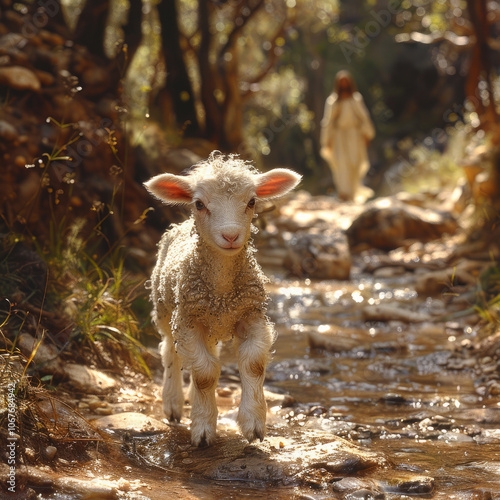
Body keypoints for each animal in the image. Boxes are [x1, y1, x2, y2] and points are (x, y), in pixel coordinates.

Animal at [145, 151, 300, 446]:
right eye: (199, 204)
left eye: (252, 201)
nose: (230, 235)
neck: (222, 291)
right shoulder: (188, 320)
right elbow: (205, 374)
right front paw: (203, 429)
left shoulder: (252, 314)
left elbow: (252, 364)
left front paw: (253, 423)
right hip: (165, 309)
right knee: (170, 352)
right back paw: (173, 403)